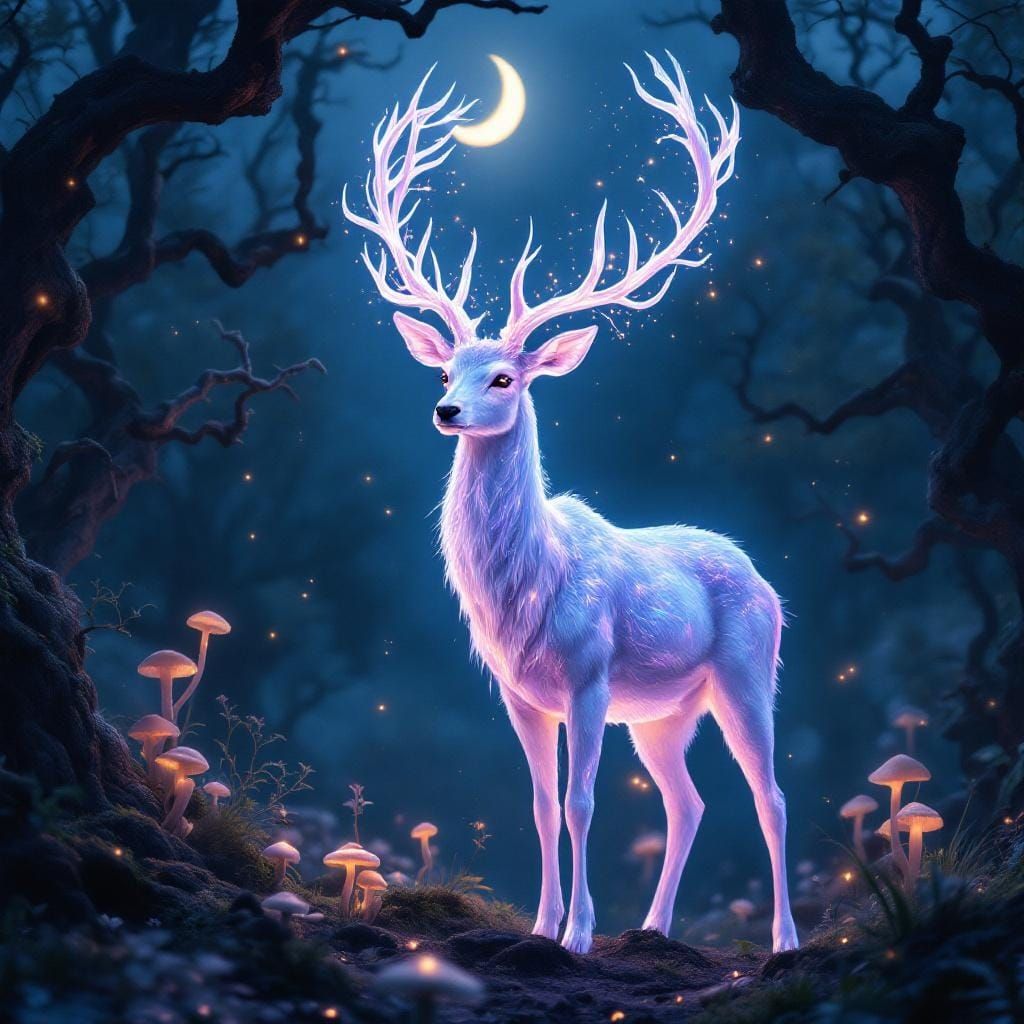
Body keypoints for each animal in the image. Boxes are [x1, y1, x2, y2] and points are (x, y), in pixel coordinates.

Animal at [343, 52, 799, 955]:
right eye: (443, 369)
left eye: (504, 378)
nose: (445, 411)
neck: (527, 591)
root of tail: (762, 576)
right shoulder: (519, 693)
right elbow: (539, 806)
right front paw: (543, 923)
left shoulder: (588, 676)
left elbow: (583, 802)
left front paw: (580, 935)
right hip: (662, 714)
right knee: (689, 801)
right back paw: (653, 927)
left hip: (745, 670)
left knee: (771, 796)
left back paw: (785, 940)